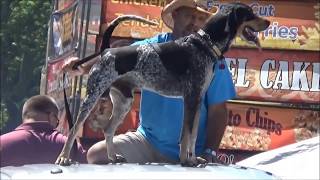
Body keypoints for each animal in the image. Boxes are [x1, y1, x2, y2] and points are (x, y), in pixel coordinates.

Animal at [55, 2, 270, 167]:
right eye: (249, 14)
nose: (268, 22)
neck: (205, 44)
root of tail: (107, 51)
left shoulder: (197, 100)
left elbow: (192, 136)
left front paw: (192, 159)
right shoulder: (191, 99)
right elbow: (186, 135)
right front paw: (187, 161)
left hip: (123, 102)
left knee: (108, 130)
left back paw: (112, 157)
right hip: (92, 96)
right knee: (74, 129)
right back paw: (64, 158)